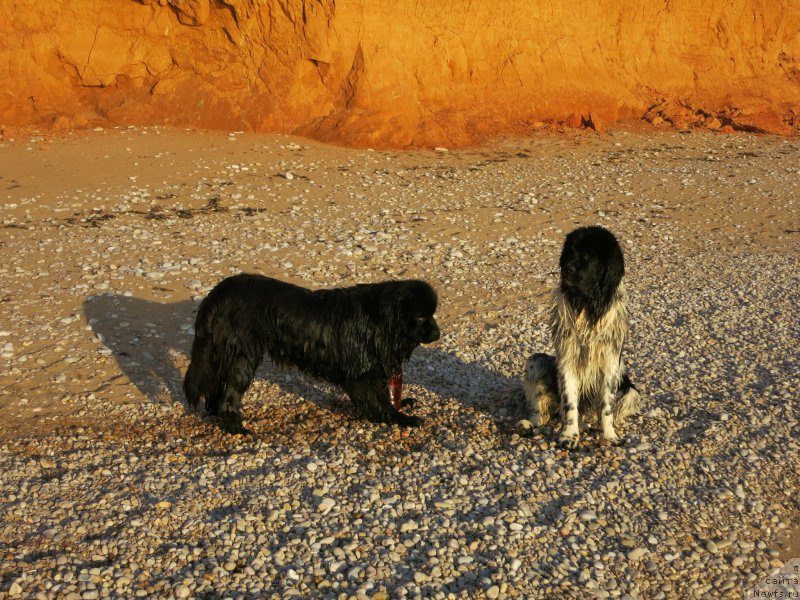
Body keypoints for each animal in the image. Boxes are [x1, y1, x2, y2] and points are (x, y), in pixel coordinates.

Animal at [184, 274, 440, 434]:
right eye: (420, 317)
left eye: (432, 314)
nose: (438, 334)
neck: (379, 320)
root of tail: (220, 292)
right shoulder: (362, 373)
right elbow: (378, 398)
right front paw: (400, 419)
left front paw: (401, 405)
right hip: (243, 356)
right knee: (230, 394)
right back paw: (237, 428)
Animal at [520, 227, 640, 448]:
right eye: (569, 252)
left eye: (588, 257)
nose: (566, 269)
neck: (587, 305)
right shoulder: (567, 361)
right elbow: (569, 404)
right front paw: (569, 435)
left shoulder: (610, 363)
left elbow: (607, 408)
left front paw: (610, 436)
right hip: (537, 362)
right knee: (541, 412)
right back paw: (527, 424)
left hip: (630, 390)